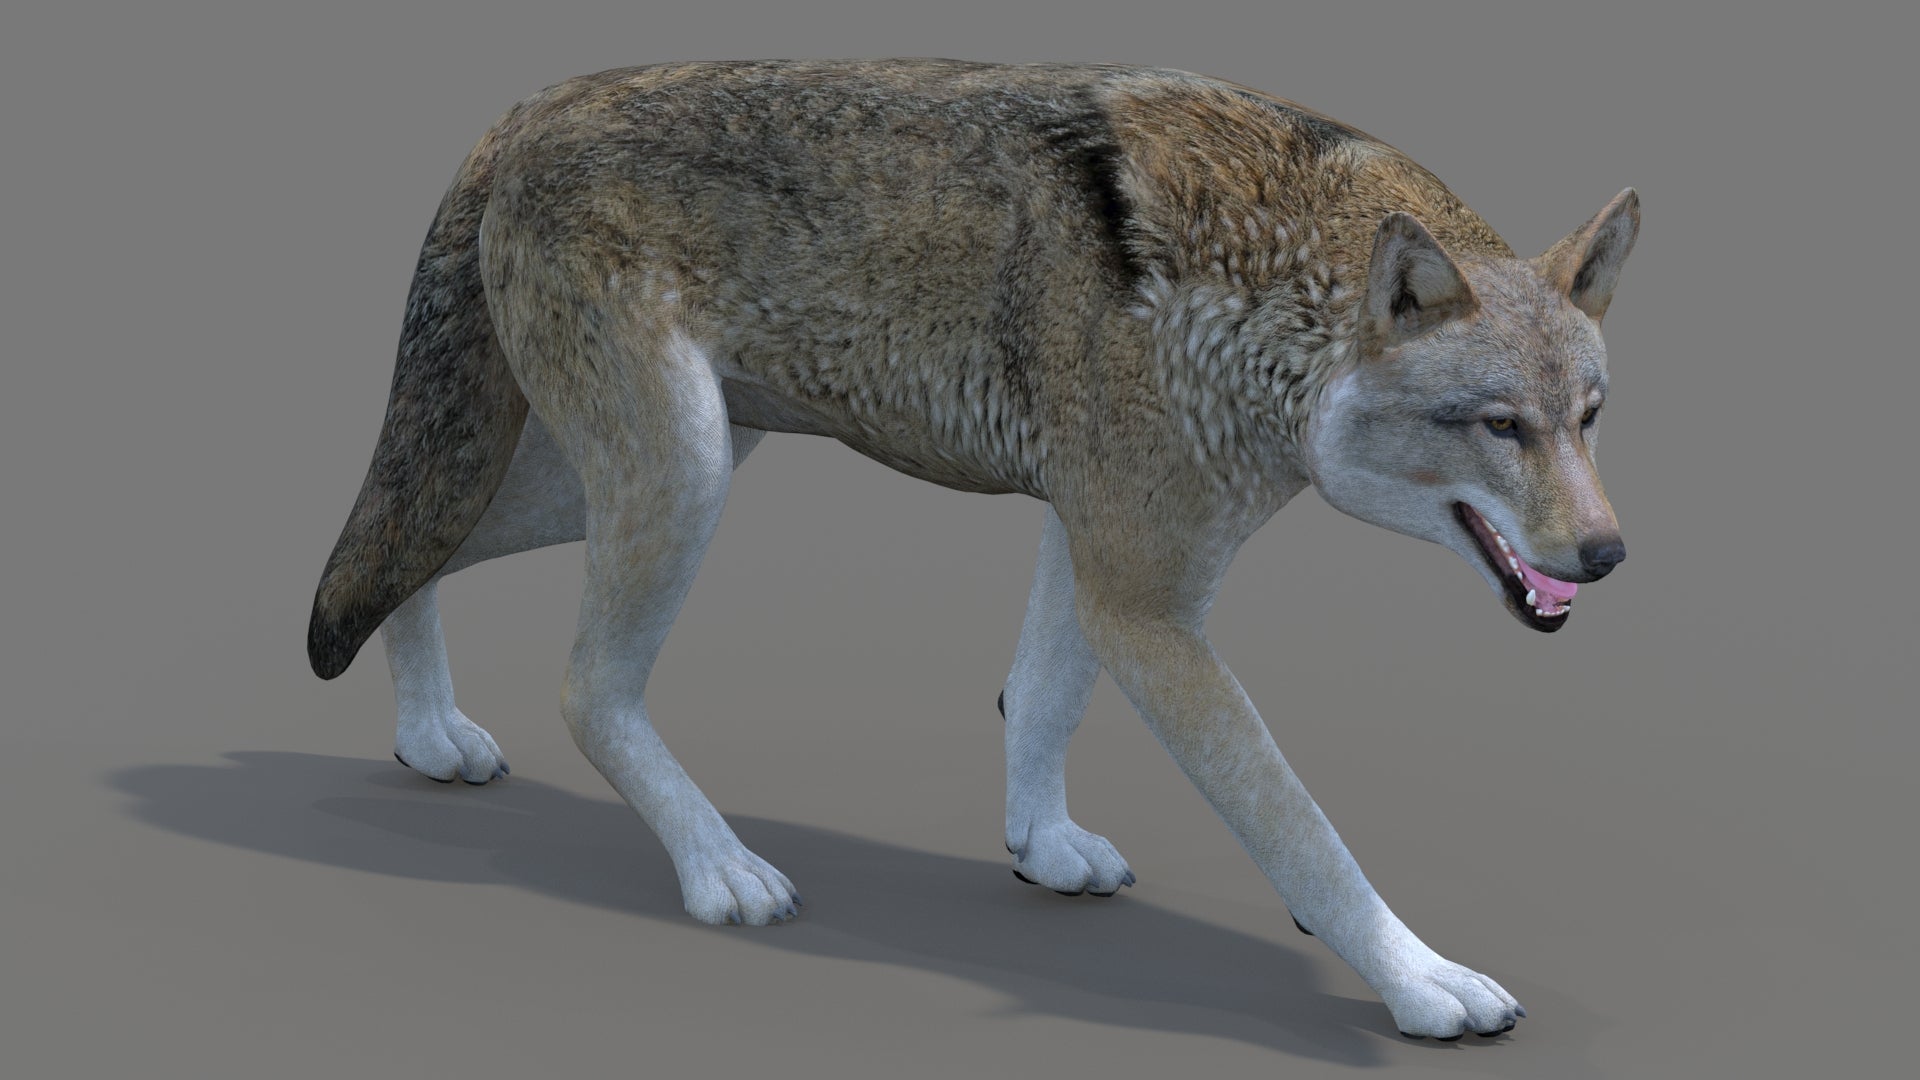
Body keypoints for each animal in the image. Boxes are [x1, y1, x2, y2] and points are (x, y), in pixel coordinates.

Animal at [307, 60, 1636, 1039]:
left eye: (1588, 417)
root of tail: (529, 105)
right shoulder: (1148, 601)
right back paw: (721, 871)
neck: (1263, 307)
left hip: (613, 478)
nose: (1611, 553)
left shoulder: (1096, 557)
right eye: (1500, 427)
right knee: (583, 687)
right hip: (678, 479)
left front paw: (1040, 849)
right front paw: (1419, 979)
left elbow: (1037, 700)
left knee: (410, 555)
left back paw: (429, 736)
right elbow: (1302, 831)